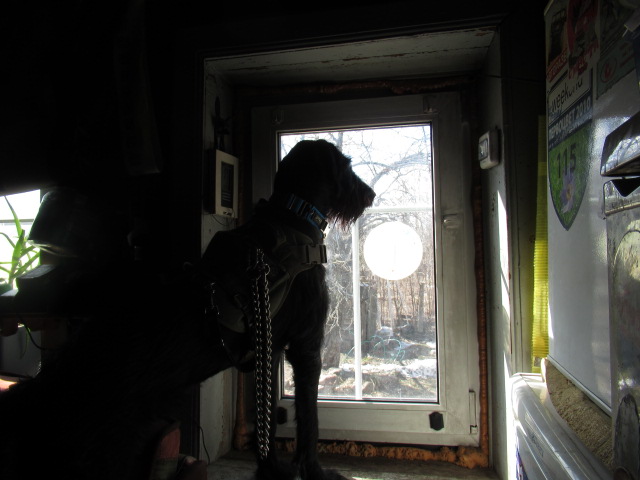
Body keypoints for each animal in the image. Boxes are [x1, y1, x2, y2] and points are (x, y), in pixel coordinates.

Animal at [0, 139, 375, 480]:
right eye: (347, 166)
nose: (370, 195)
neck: (293, 215)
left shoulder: (270, 351)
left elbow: (267, 418)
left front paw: (272, 470)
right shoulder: (305, 346)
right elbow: (309, 419)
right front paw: (315, 472)